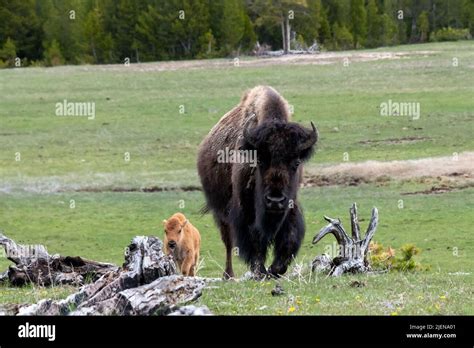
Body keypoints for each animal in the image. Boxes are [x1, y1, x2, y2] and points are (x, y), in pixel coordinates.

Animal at [196, 85, 318, 278]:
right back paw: (228, 275)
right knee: (228, 242)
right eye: (259, 160)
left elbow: (289, 239)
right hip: (220, 212)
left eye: (296, 162)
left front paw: (275, 269)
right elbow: (254, 240)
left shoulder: (291, 207)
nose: (275, 201)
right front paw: (260, 271)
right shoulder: (244, 210)